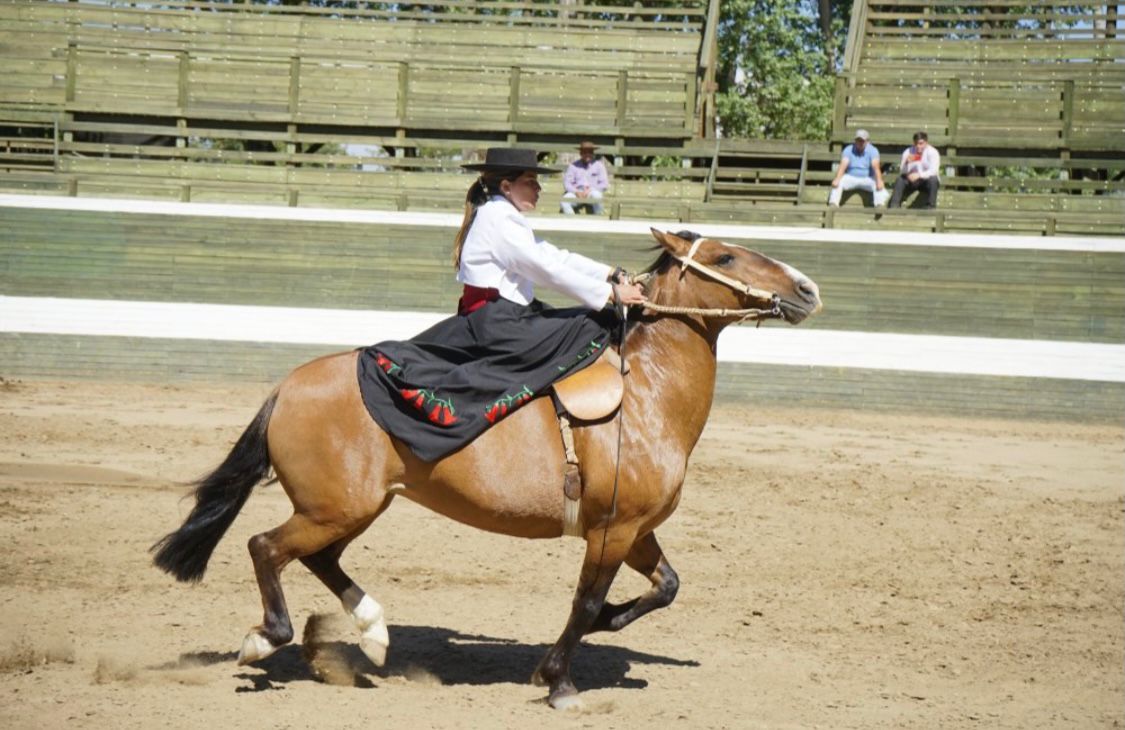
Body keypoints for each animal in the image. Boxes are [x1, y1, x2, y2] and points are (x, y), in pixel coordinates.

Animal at [149, 227, 823, 706]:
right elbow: (584, 603)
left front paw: (602, 629)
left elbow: (664, 587)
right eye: (728, 258)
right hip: (333, 508)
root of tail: (287, 387)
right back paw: (267, 639)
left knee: (317, 558)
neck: (645, 395)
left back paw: (373, 634)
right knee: (265, 547)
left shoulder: (635, 531)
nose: (807, 289)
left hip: (351, 508)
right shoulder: (613, 530)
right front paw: (558, 681)